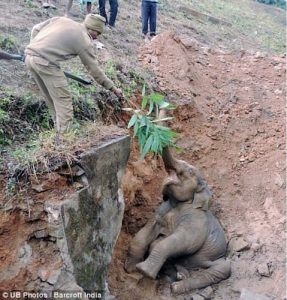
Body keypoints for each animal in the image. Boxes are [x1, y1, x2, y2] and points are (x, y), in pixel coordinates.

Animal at [126, 149, 232, 294]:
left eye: (190, 171)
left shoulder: (197, 219)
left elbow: (184, 241)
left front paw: (143, 271)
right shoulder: (161, 210)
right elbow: (146, 231)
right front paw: (130, 268)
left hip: (216, 258)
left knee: (222, 269)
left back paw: (176, 287)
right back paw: (180, 274)